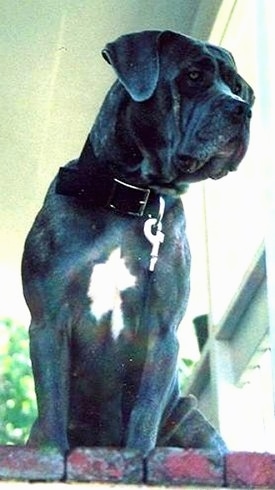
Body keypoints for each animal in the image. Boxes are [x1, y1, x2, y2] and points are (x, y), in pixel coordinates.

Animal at [21, 29, 254, 456]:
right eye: (193, 76)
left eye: (236, 87)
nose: (242, 109)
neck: (130, 196)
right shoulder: (48, 322)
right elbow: (53, 407)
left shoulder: (162, 332)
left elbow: (145, 413)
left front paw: (138, 457)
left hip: (192, 420)